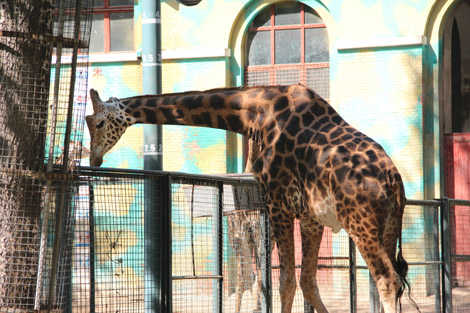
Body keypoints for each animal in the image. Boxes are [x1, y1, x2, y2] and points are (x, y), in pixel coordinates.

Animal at [85, 84, 414, 310]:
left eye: (98, 122)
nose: (94, 159)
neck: (253, 113)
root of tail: (393, 180)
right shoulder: (309, 217)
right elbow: (306, 281)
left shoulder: (278, 203)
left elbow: (283, 282)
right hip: (387, 227)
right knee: (392, 279)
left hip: (359, 224)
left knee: (386, 280)